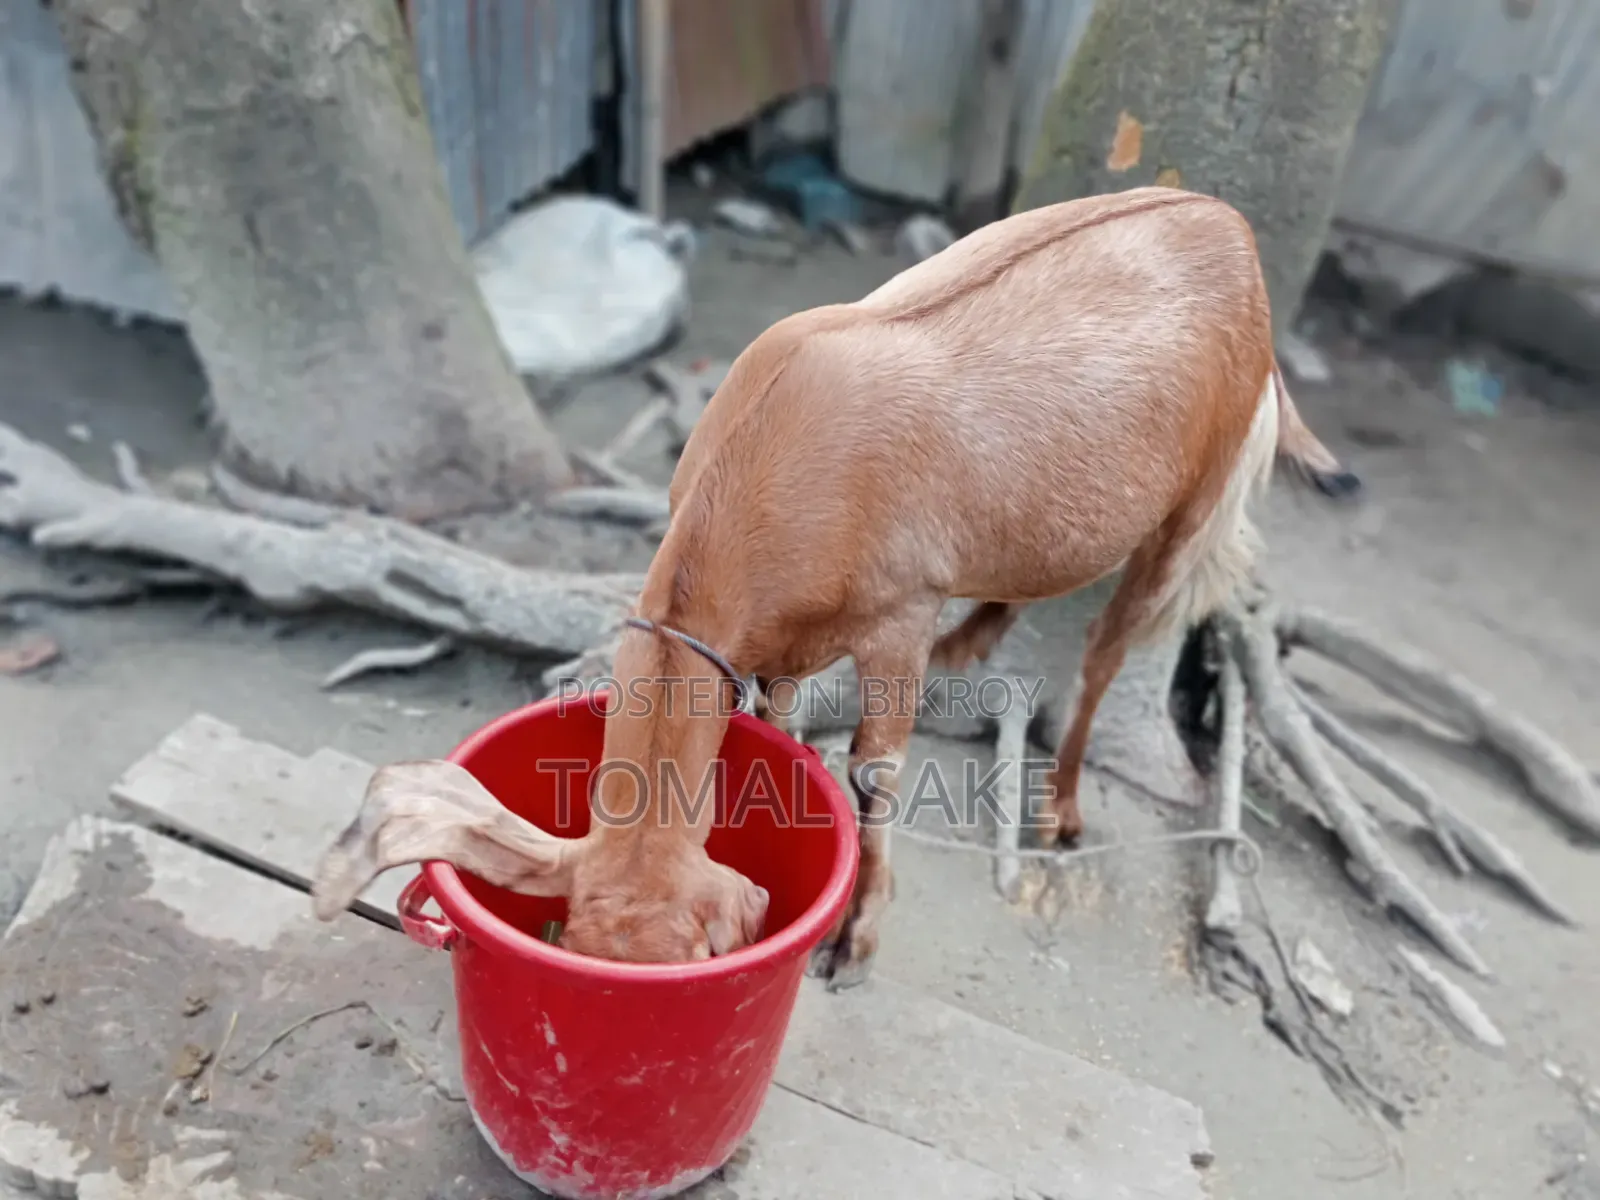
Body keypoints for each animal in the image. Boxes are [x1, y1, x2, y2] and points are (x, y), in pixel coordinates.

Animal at [312, 186, 1357, 990]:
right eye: (570, 934)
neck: (774, 457)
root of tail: (1236, 236)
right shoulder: (777, 637)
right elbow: (779, 726)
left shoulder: (898, 610)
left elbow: (872, 770)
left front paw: (854, 942)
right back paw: (980, 637)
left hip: (1201, 490)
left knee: (1111, 644)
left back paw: (1060, 810)